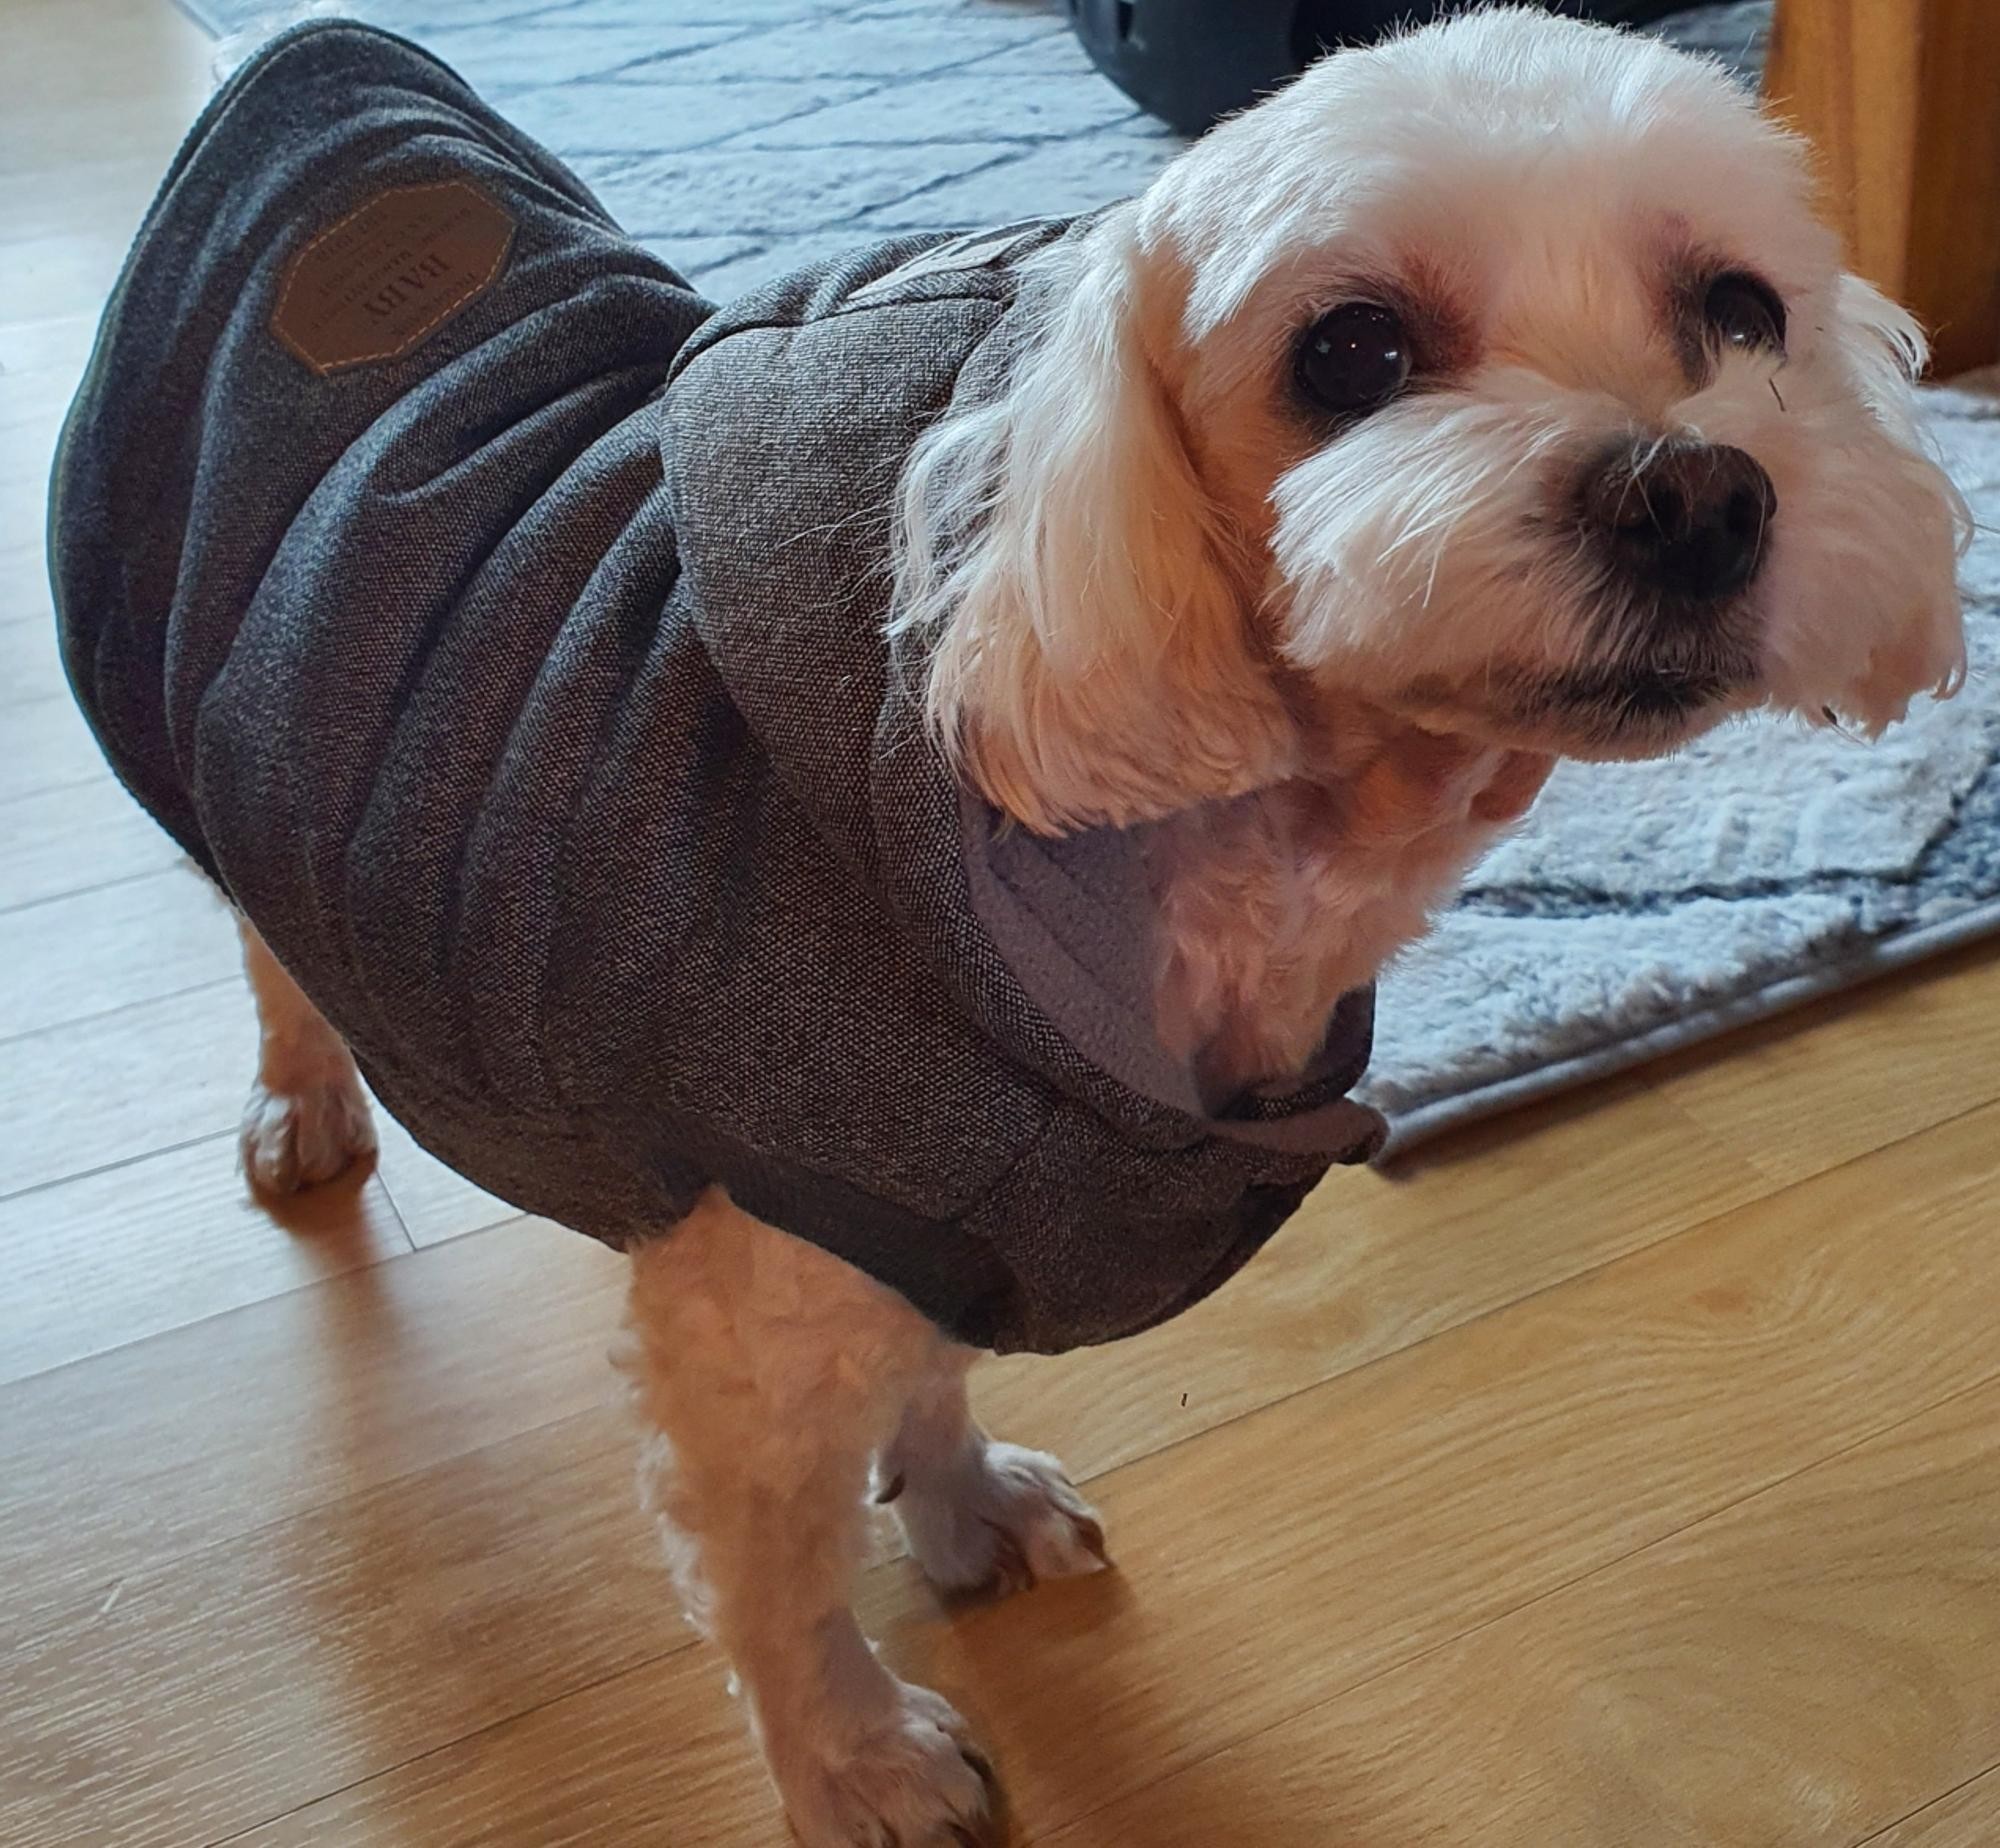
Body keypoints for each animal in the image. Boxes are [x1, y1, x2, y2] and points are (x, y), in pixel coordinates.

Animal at [52, 8, 1964, 1844]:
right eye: (1350, 352)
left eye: (1741, 309)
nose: (1695, 495)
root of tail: (308, 65)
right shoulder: (771, 1282)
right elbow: (777, 1580)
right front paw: (854, 1758)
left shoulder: (961, 1209)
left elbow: (933, 1373)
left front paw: (960, 1500)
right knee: (264, 938)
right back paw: (305, 1096)